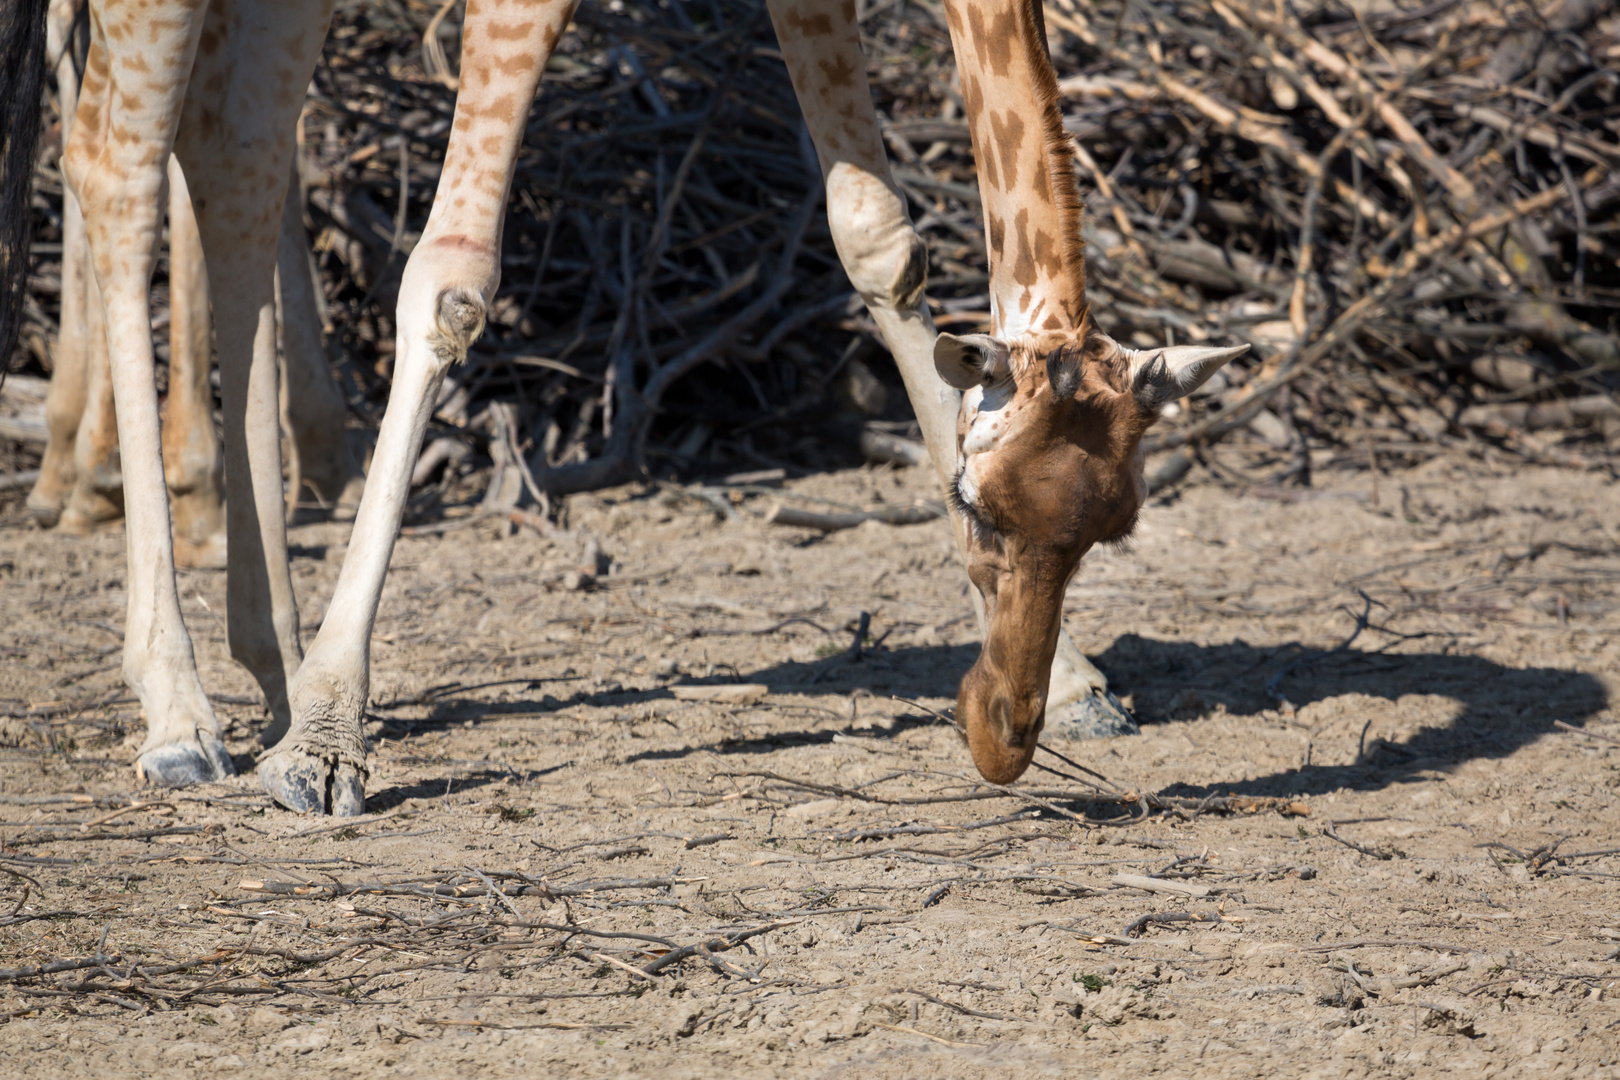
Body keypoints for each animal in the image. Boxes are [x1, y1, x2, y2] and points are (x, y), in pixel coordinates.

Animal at [9, 0, 1237, 809]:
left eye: (1108, 534)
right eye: (978, 507)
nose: (997, 739)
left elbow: (879, 241)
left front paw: (1076, 681)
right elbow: (449, 283)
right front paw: (323, 747)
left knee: (236, 147)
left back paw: (267, 653)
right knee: (114, 151)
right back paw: (178, 710)